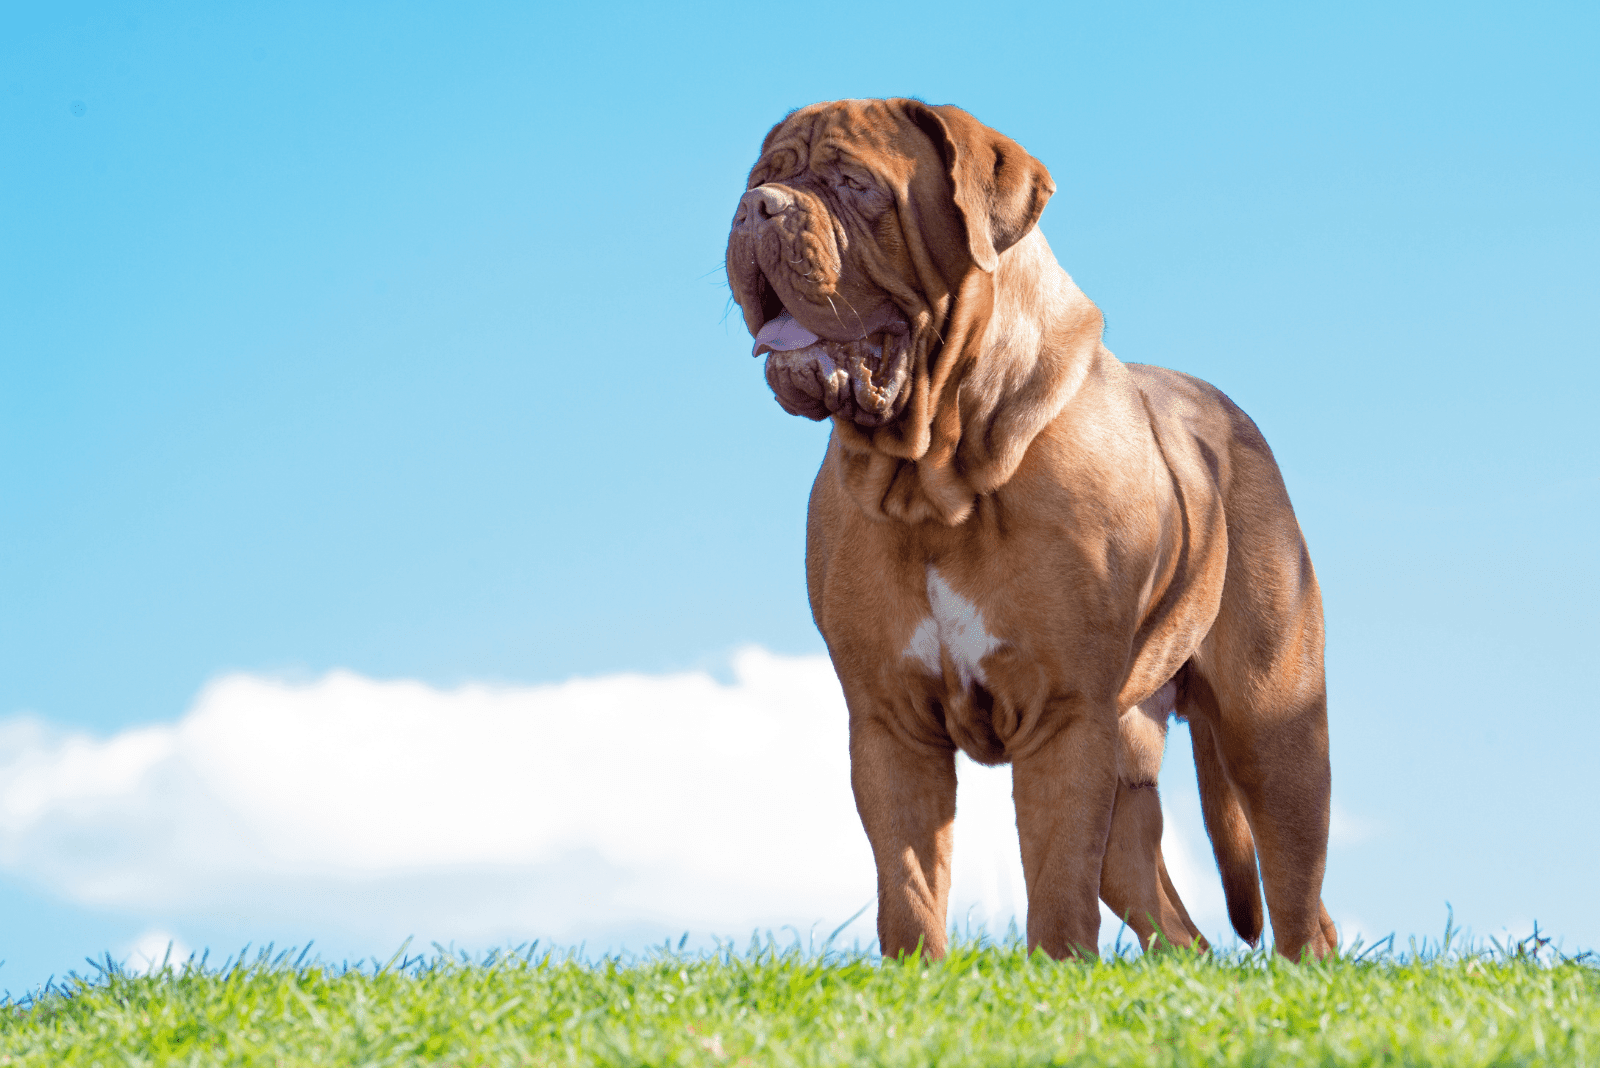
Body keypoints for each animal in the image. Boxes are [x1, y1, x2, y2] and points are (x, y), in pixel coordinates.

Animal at [726, 99, 1337, 965]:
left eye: (855, 184)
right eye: (761, 178)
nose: (757, 209)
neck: (937, 475)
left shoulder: (1062, 713)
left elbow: (1054, 878)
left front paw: (1057, 973)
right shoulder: (889, 723)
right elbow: (909, 885)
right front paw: (917, 978)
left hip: (1274, 727)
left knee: (1297, 896)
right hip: (1132, 765)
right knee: (1178, 926)